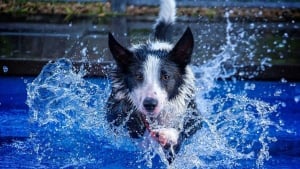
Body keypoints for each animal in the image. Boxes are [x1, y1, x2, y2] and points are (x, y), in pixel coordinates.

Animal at [105, 0, 202, 164]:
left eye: (166, 76)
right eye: (138, 76)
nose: (150, 104)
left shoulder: (192, 119)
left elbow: (180, 133)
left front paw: (168, 135)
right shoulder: (119, 111)